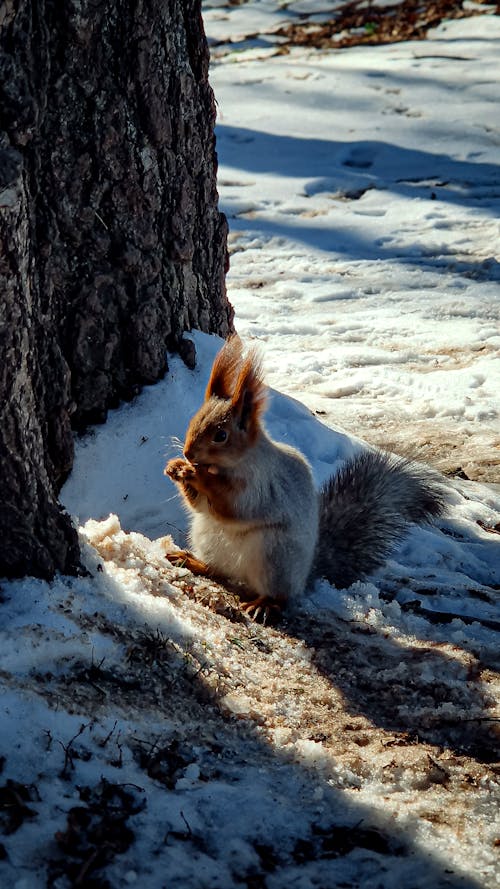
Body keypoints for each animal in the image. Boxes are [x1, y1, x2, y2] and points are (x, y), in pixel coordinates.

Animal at [165, 336, 446, 620]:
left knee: (281, 595)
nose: (188, 453)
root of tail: (303, 578)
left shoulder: (262, 487)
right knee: (217, 570)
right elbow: (200, 506)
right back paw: (191, 560)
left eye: (221, 436)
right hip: (207, 537)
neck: (231, 465)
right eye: (193, 421)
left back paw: (264, 604)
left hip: (274, 557)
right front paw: (176, 467)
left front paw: (196, 475)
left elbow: (234, 507)